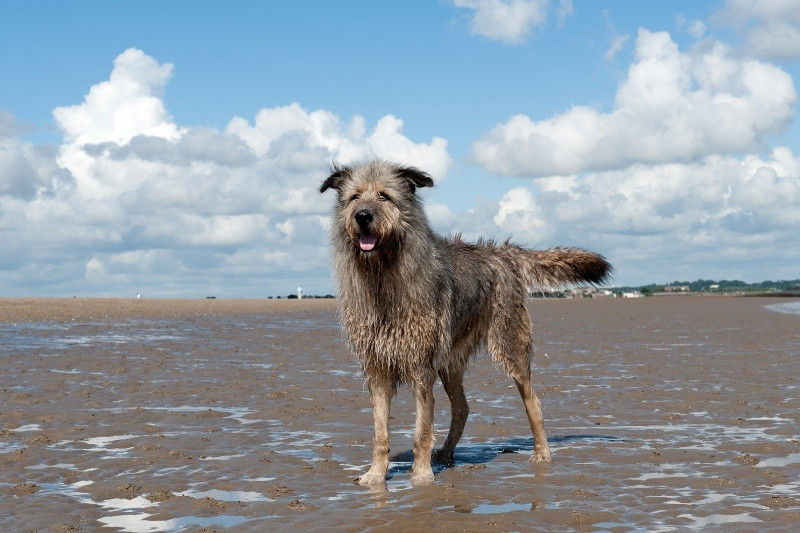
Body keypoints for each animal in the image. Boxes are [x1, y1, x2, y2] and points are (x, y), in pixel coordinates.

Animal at [318, 157, 612, 482]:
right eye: (354, 197)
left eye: (384, 196)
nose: (362, 216)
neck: (383, 278)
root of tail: (503, 253)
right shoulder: (377, 369)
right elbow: (380, 433)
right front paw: (375, 476)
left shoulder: (421, 368)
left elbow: (421, 430)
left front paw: (421, 477)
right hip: (450, 363)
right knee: (462, 407)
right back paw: (446, 454)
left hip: (510, 345)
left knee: (532, 400)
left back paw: (542, 453)